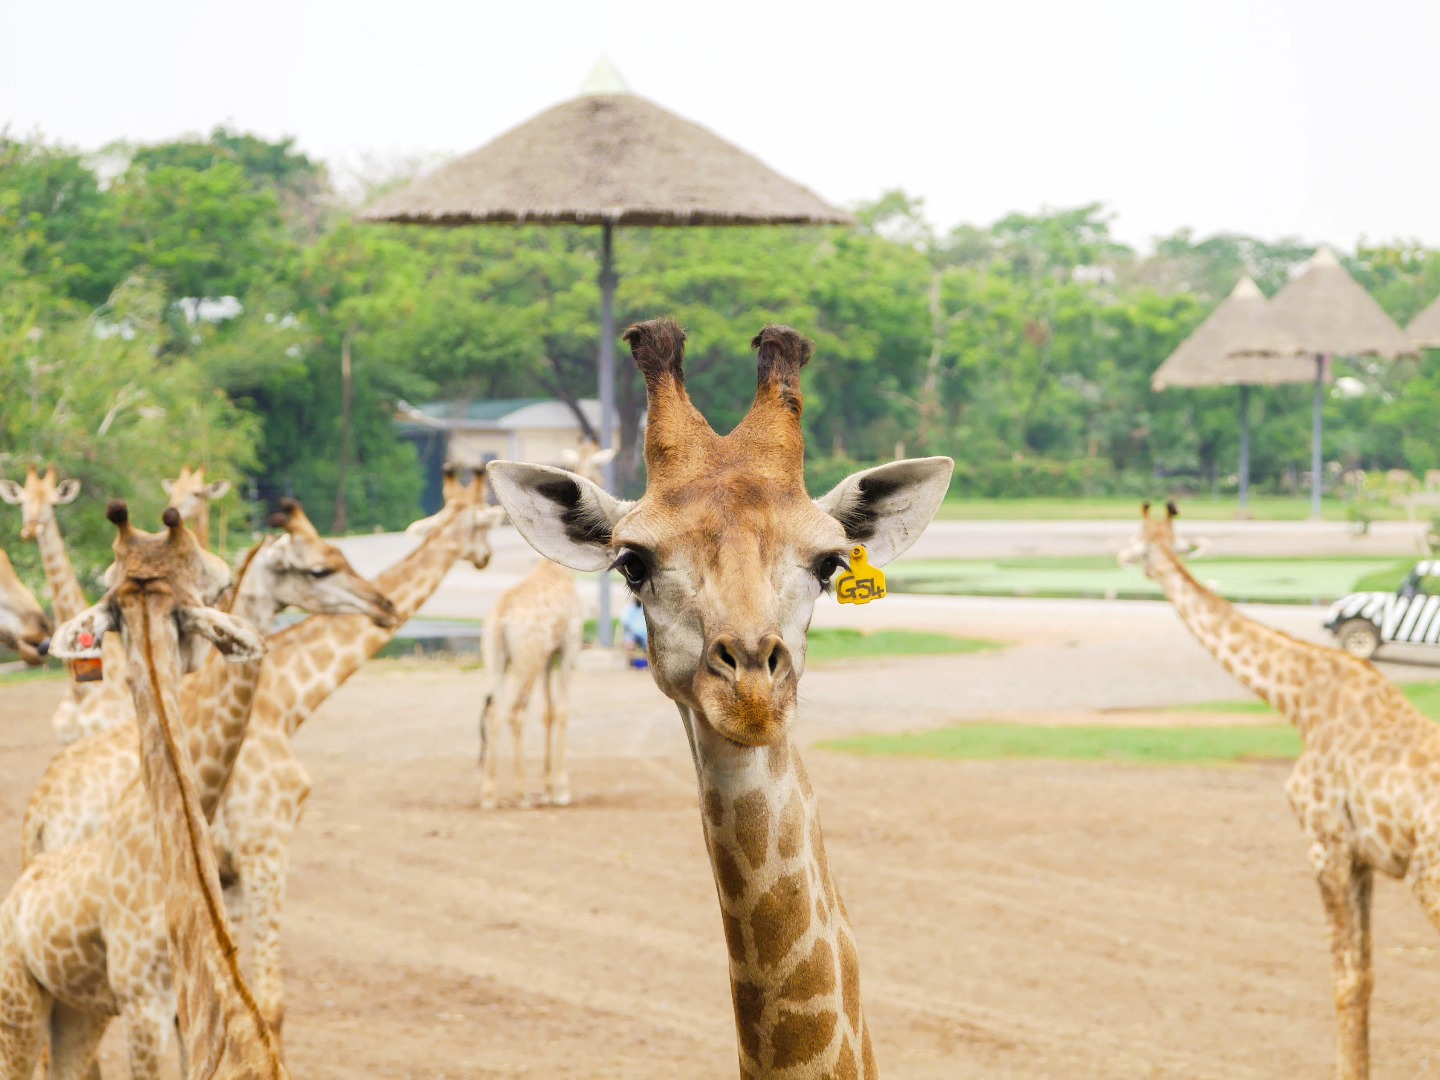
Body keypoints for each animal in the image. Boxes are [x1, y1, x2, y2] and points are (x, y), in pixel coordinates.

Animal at [1117, 506, 1440, 1080]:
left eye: (1140, 542)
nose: (1119, 556)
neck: (1301, 701)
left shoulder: (1324, 845)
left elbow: (1344, 980)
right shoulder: (1360, 856)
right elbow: (1367, 976)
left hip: (1430, 878)